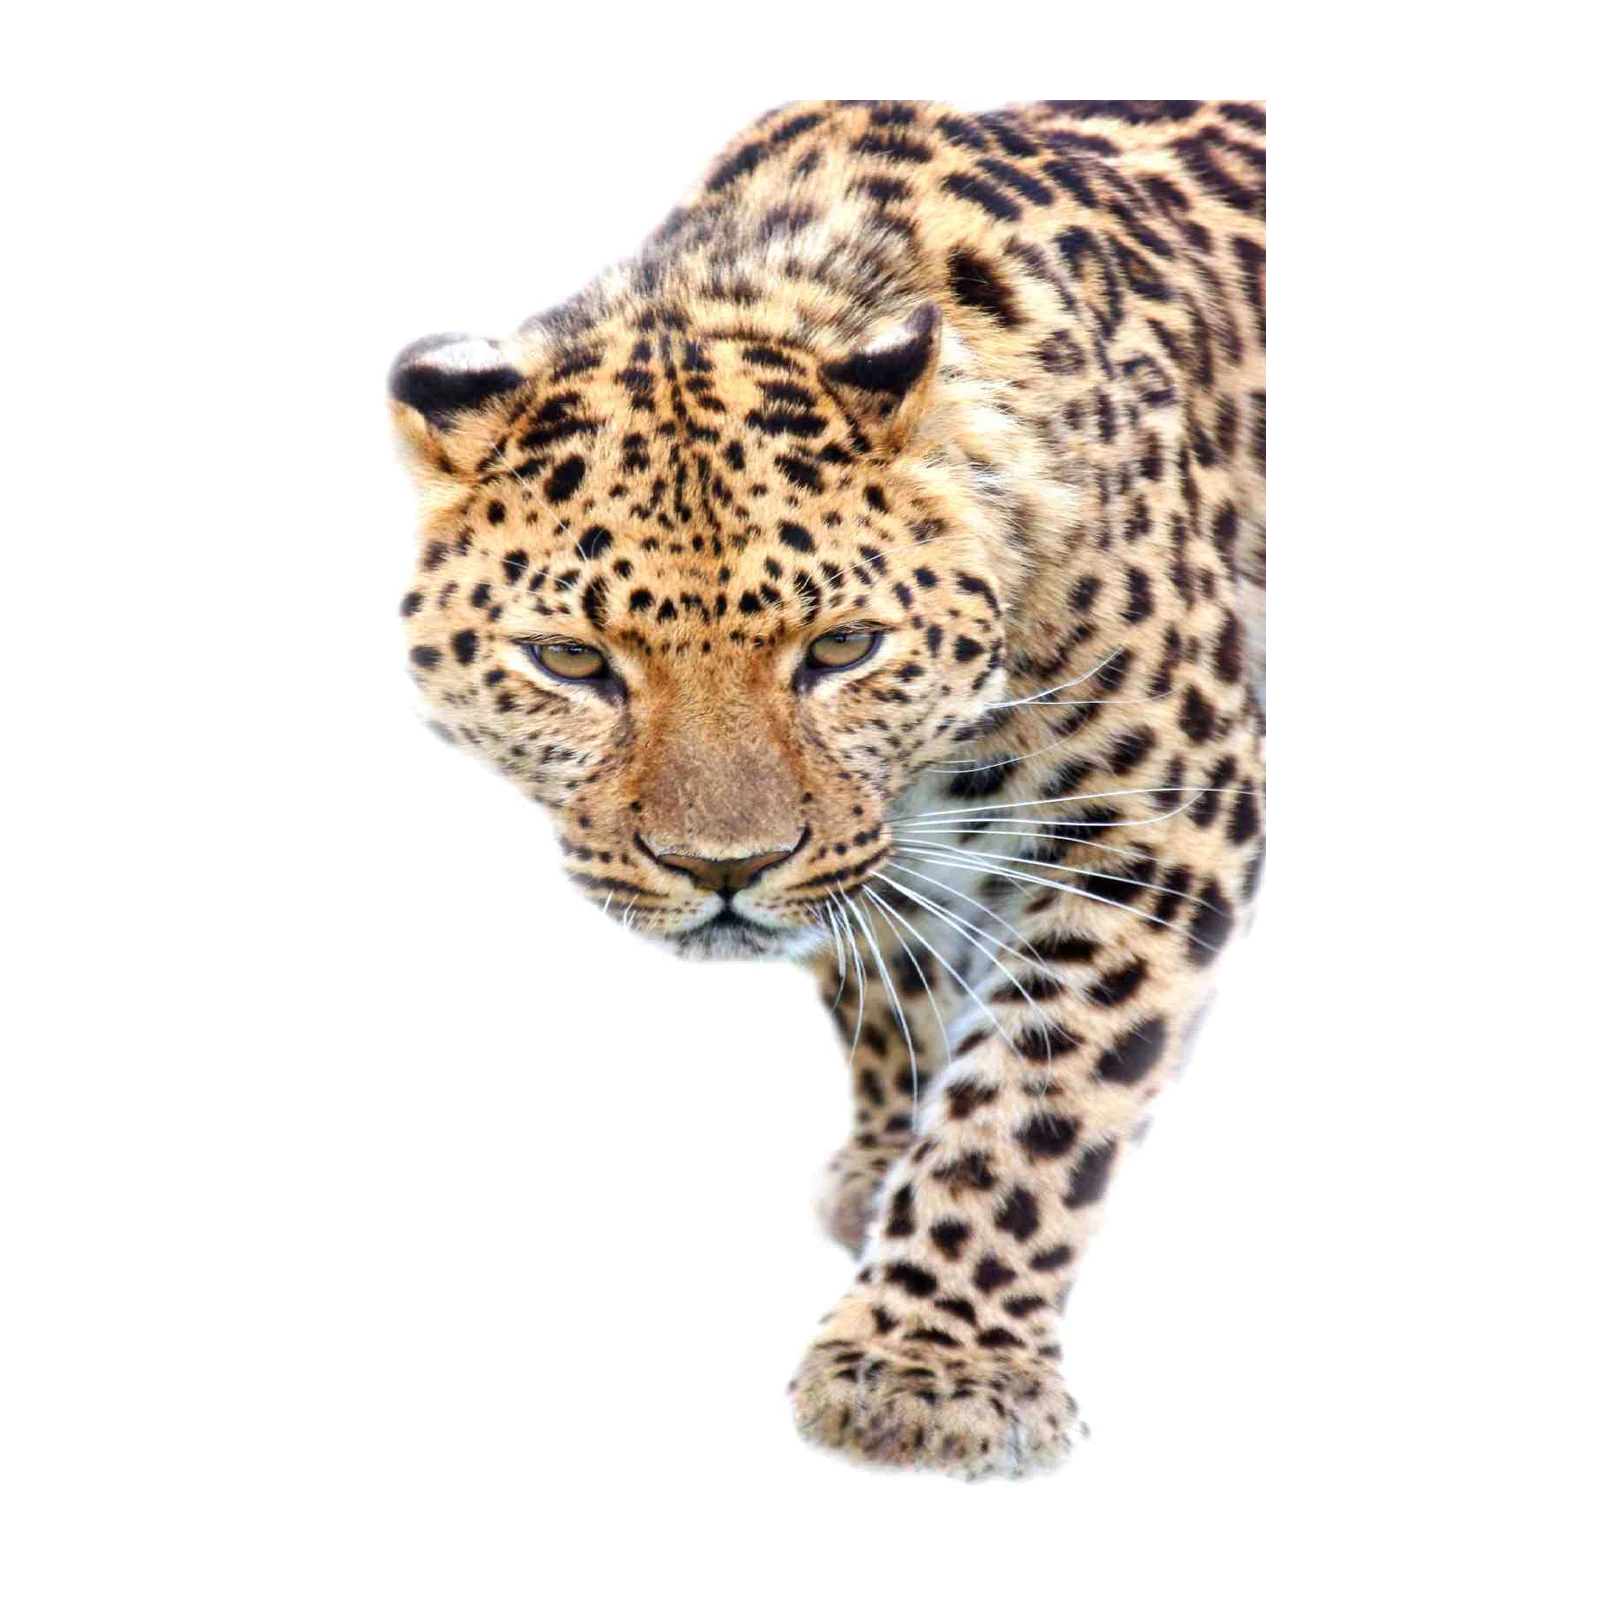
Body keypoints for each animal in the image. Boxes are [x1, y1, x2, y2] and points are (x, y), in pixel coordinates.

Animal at [386, 96, 1270, 1481]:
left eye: (843, 648)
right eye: (572, 662)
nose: (723, 869)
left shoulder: (1157, 815)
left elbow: (1036, 1095)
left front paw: (928, 1368)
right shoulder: (882, 863)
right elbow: (891, 994)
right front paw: (882, 1170)